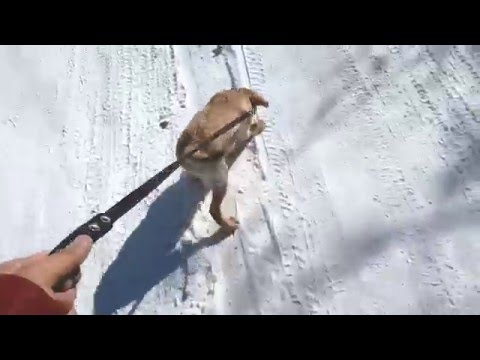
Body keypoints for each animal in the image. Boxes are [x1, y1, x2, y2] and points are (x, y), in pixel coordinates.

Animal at [175, 87, 268, 233]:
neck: (239, 94)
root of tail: (189, 151)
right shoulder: (243, 130)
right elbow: (250, 131)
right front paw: (260, 125)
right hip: (222, 177)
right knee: (214, 210)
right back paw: (229, 225)